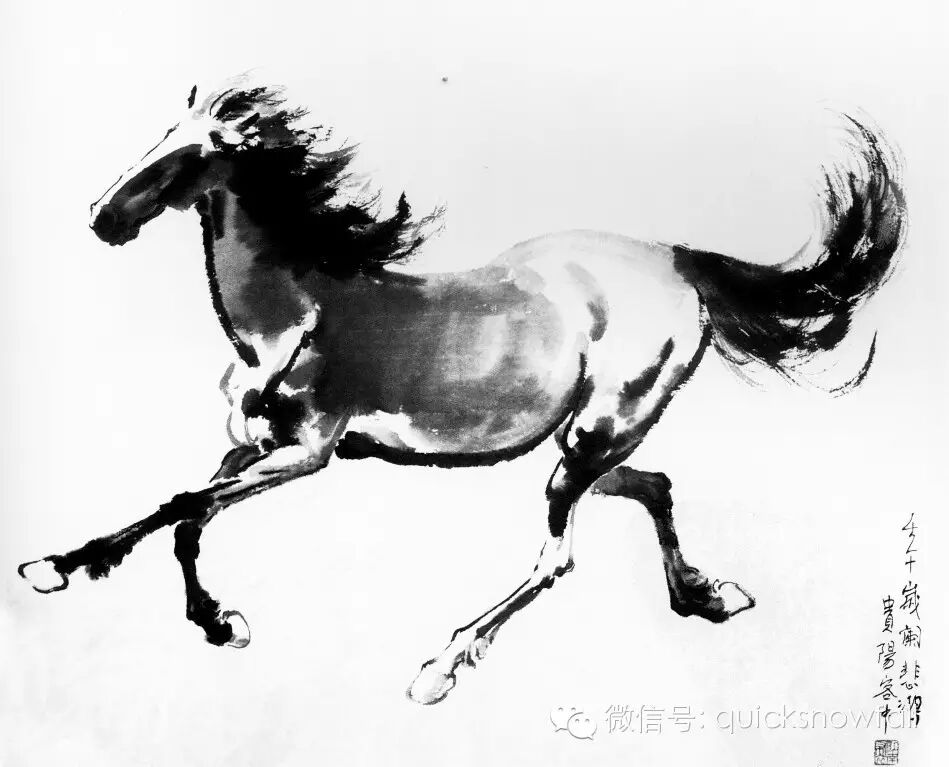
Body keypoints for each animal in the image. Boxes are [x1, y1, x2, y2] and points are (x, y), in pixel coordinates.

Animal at [18, 78, 907, 705]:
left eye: (193, 154)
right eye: (160, 136)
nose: (101, 216)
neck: (292, 313)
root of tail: (677, 260)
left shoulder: (305, 453)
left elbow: (178, 505)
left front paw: (108, 585)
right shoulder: (250, 447)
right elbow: (180, 515)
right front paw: (161, 600)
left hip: (591, 437)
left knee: (558, 555)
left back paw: (438, 665)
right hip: (594, 442)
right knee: (652, 484)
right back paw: (708, 596)